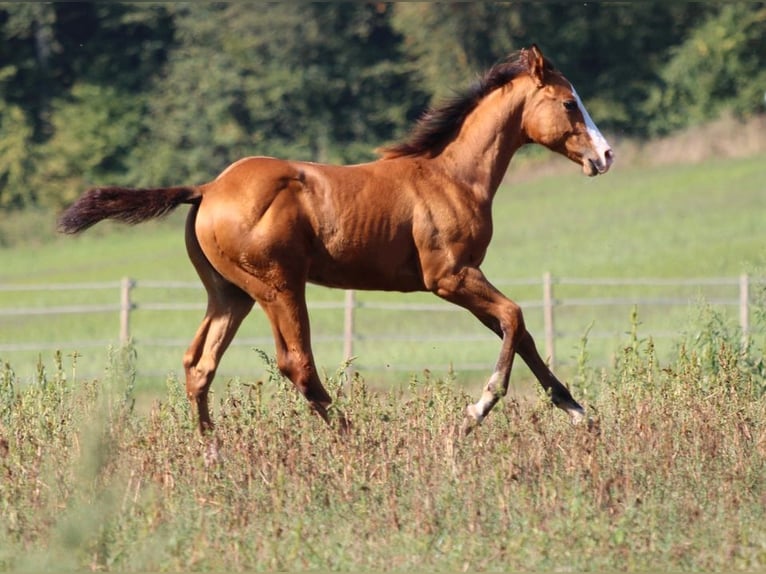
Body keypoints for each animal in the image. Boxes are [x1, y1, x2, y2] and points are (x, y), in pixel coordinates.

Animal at [57, 45, 616, 438]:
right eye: (569, 102)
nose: (606, 155)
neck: (452, 176)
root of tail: (208, 188)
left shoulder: (465, 280)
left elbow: (519, 333)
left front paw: (579, 413)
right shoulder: (450, 277)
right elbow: (515, 318)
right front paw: (475, 411)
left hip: (229, 293)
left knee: (200, 365)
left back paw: (211, 450)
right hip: (279, 286)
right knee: (296, 364)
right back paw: (360, 438)